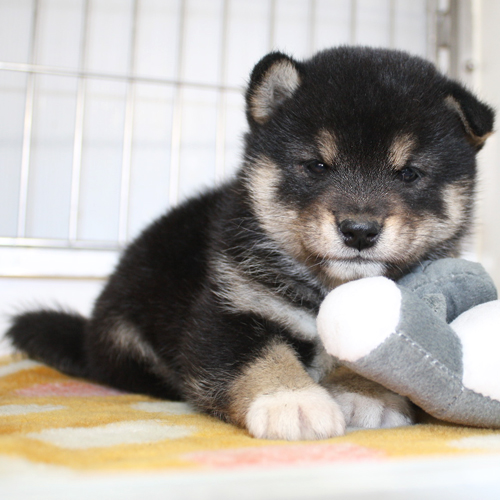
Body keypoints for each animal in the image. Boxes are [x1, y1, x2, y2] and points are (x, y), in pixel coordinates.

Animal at [7, 47, 494, 440]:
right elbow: (260, 355)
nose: (359, 230)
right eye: (316, 166)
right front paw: (293, 401)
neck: (325, 291)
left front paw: (367, 394)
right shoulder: (228, 309)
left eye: (409, 173)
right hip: (126, 330)